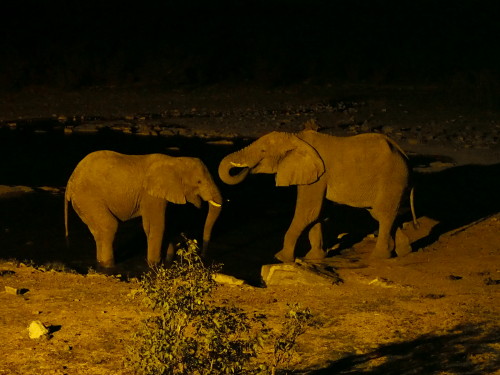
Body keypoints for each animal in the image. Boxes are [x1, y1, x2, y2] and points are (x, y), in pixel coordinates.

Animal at [65, 151, 222, 268]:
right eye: (199, 182)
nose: (203, 255)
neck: (175, 161)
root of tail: (70, 182)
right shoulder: (150, 195)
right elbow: (156, 226)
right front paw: (154, 265)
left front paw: (167, 260)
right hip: (88, 198)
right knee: (109, 226)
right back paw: (109, 265)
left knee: (98, 230)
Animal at [219, 131, 418, 262]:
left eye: (262, 151)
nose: (246, 169)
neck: (298, 138)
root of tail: (406, 158)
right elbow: (317, 214)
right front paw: (315, 257)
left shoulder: (318, 176)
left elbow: (308, 212)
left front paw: (281, 258)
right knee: (382, 214)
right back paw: (404, 251)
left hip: (392, 179)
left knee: (383, 215)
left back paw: (379, 257)